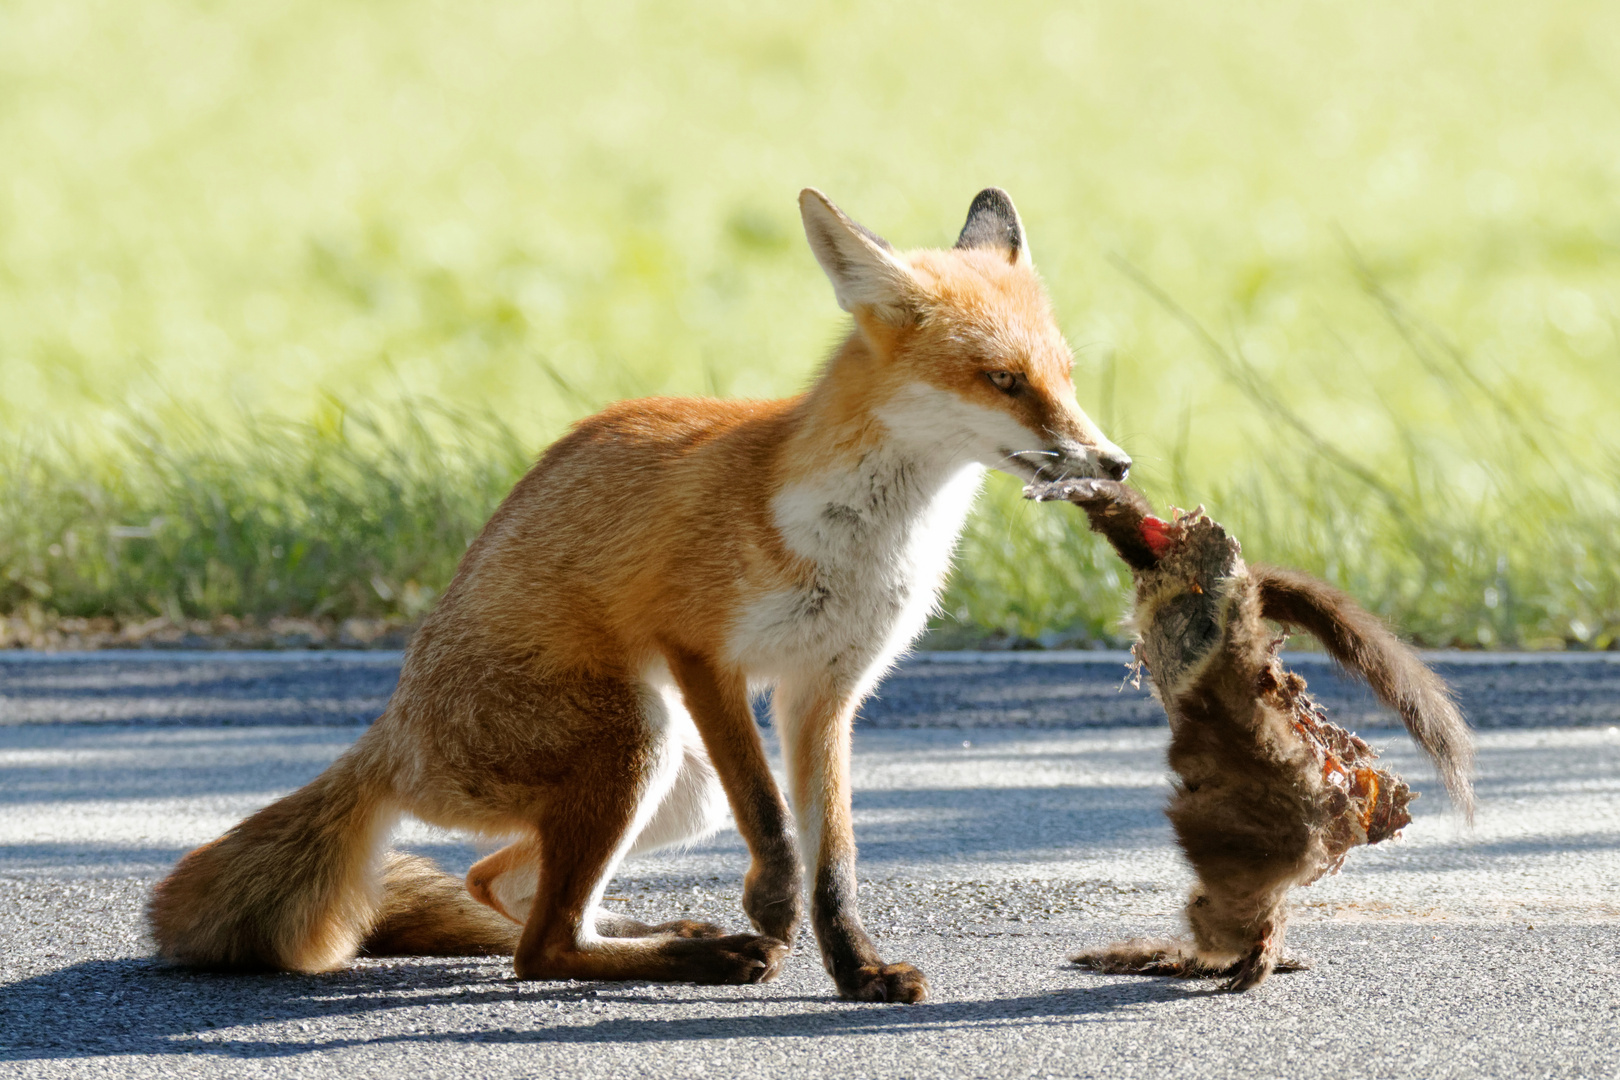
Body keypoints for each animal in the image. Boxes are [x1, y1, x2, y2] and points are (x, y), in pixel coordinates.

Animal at [152, 187, 1134, 1003]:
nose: (1115, 463)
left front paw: (857, 970)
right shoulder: (700, 651)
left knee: (501, 884)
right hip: (640, 740)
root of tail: (391, 734)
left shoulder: (826, 692)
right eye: (1004, 380)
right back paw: (707, 954)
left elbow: (836, 863)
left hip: (674, 782)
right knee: (539, 946)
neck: (858, 540)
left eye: (1067, 375)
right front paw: (771, 907)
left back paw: (671, 933)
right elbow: (772, 819)